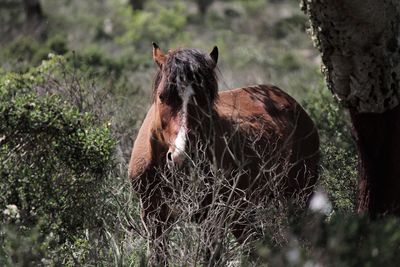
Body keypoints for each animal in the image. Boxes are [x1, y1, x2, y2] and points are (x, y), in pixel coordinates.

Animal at [128, 43, 318, 266]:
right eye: (162, 96)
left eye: (207, 99)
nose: (182, 158)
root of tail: (294, 105)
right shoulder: (153, 216)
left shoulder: (212, 218)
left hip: (300, 196)